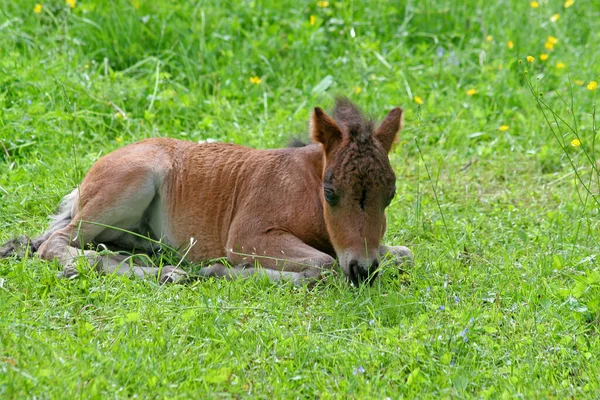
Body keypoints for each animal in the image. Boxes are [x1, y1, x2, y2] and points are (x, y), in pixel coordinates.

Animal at [0, 100, 412, 288]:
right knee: (54, 243)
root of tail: (83, 185)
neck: (304, 188)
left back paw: (162, 269)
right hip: (128, 185)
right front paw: (221, 270)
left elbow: (403, 254)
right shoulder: (246, 235)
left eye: (390, 195)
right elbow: (324, 266)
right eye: (330, 192)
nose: (362, 270)